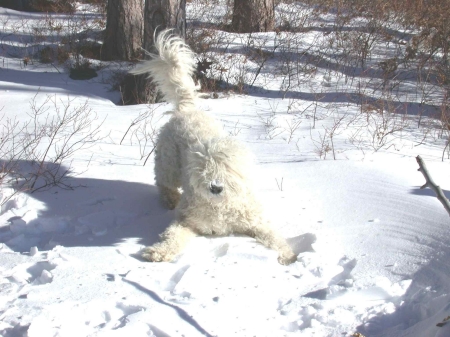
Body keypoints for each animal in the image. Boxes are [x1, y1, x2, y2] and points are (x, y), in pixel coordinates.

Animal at [132, 30, 298, 264]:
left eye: (229, 168)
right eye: (203, 167)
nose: (215, 187)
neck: (220, 205)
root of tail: (187, 109)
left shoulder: (255, 222)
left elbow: (274, 237)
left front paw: (289, 257)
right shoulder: (187, 220)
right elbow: (173, 236)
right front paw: (159, 251)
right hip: (168, 163)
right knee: (163, 182)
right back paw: (170, 199)